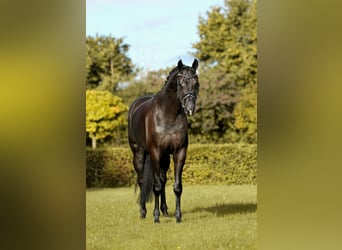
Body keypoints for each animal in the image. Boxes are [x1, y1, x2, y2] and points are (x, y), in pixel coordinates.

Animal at [128, 59, 199, 223]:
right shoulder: (155, 152)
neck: (169, 114)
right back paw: (143, 212)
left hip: (165, 157)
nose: (190, 109)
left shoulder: (180, 152)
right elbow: (156, 186)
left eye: (196, 83)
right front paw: (156, 217)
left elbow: (177, 187)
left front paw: (178, 217)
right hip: (139, 154)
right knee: (142, 181)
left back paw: (165, 210)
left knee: (163, 178)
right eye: (180, 83)